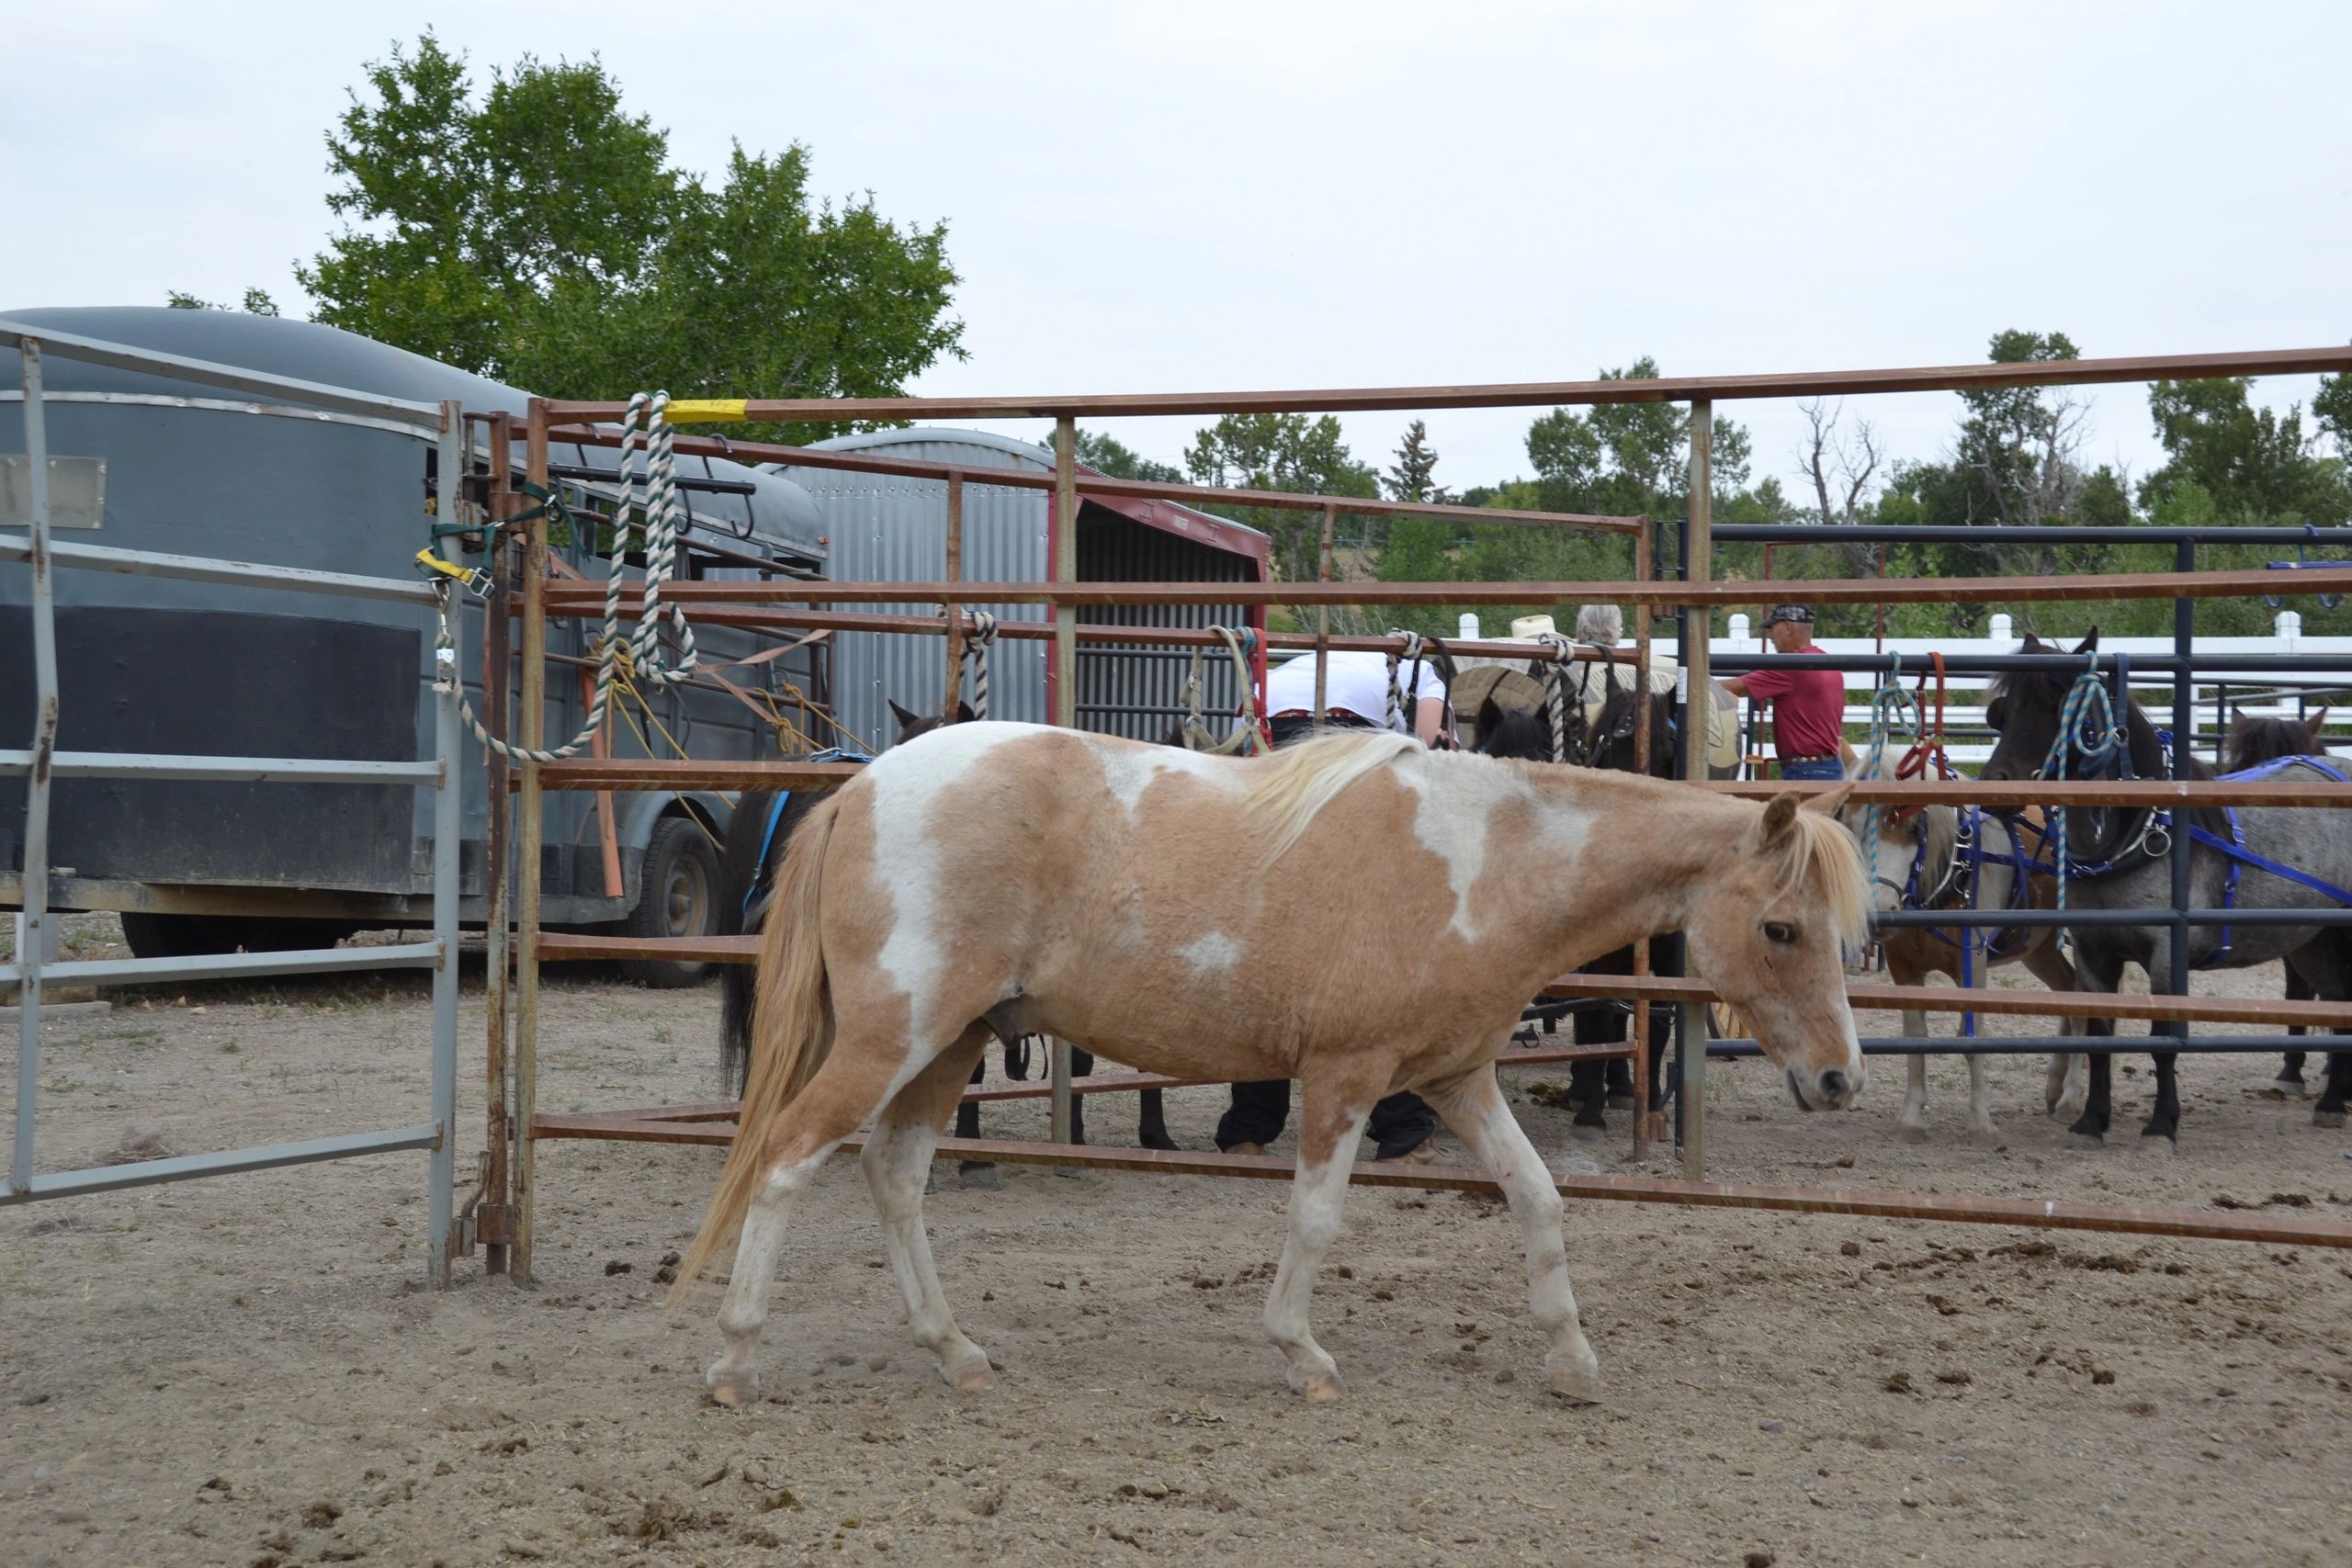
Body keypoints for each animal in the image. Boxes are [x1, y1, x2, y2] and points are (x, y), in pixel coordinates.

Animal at [1837, 751, 2084, 1138]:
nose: (1879, 912)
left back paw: (2072, 1097)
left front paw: (1981, 1121)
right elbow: (1914, 1038)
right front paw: (1911, 1118)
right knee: (2069, 990)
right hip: (2038, 948)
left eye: (1914, 828)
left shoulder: (1974, 967)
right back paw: (2056, 1086)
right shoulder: (1904, 969)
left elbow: (1972, 1038)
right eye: (1849, 826)